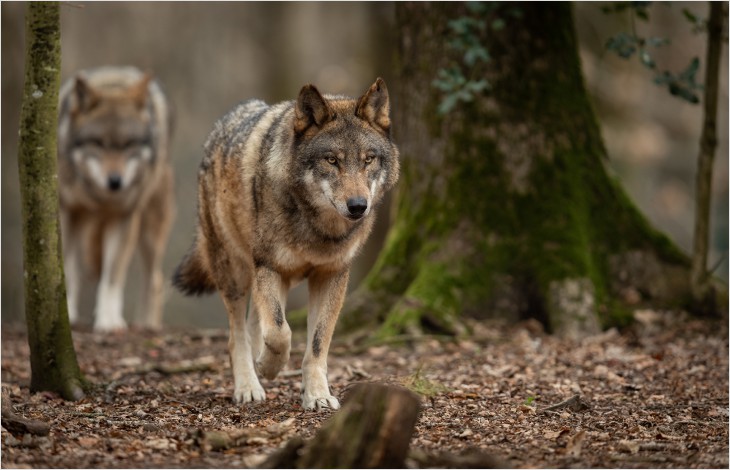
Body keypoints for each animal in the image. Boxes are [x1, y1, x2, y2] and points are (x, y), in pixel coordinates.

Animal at [57, 66, 176, 332]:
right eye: (98, 143)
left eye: (128, 144)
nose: (115, 181)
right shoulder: (66, 214)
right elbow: (66, 271)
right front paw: (66, 314)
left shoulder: (124, 218)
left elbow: (111, 278)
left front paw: (109, 322)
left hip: (150, 233)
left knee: (155, 281)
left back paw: (147, 325)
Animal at [172, 79, 398, 410]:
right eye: (332, 160)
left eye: (368, 159)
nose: (358, 206)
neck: (318, 230)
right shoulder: (270, 266)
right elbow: (280, 331)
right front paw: (269, 366)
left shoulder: (332, 274)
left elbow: (317, 343)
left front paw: (317, 394)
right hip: (235, 272)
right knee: (237, 336)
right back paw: (248, 385)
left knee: (255, 324)